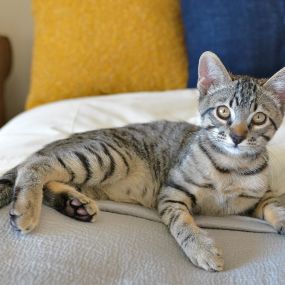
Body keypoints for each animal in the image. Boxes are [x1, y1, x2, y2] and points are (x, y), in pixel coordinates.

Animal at [0, 51, 284, 270]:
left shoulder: (261, 195)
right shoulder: (172, 194)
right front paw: (201, 248)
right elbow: (182, 223)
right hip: (109, 156)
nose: (237, 137)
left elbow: (275, 204)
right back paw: (27, 209)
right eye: (223, 112)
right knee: (36, 165)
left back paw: (74, 204)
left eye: (259, 118)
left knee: (49, 177)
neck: (231, 166)